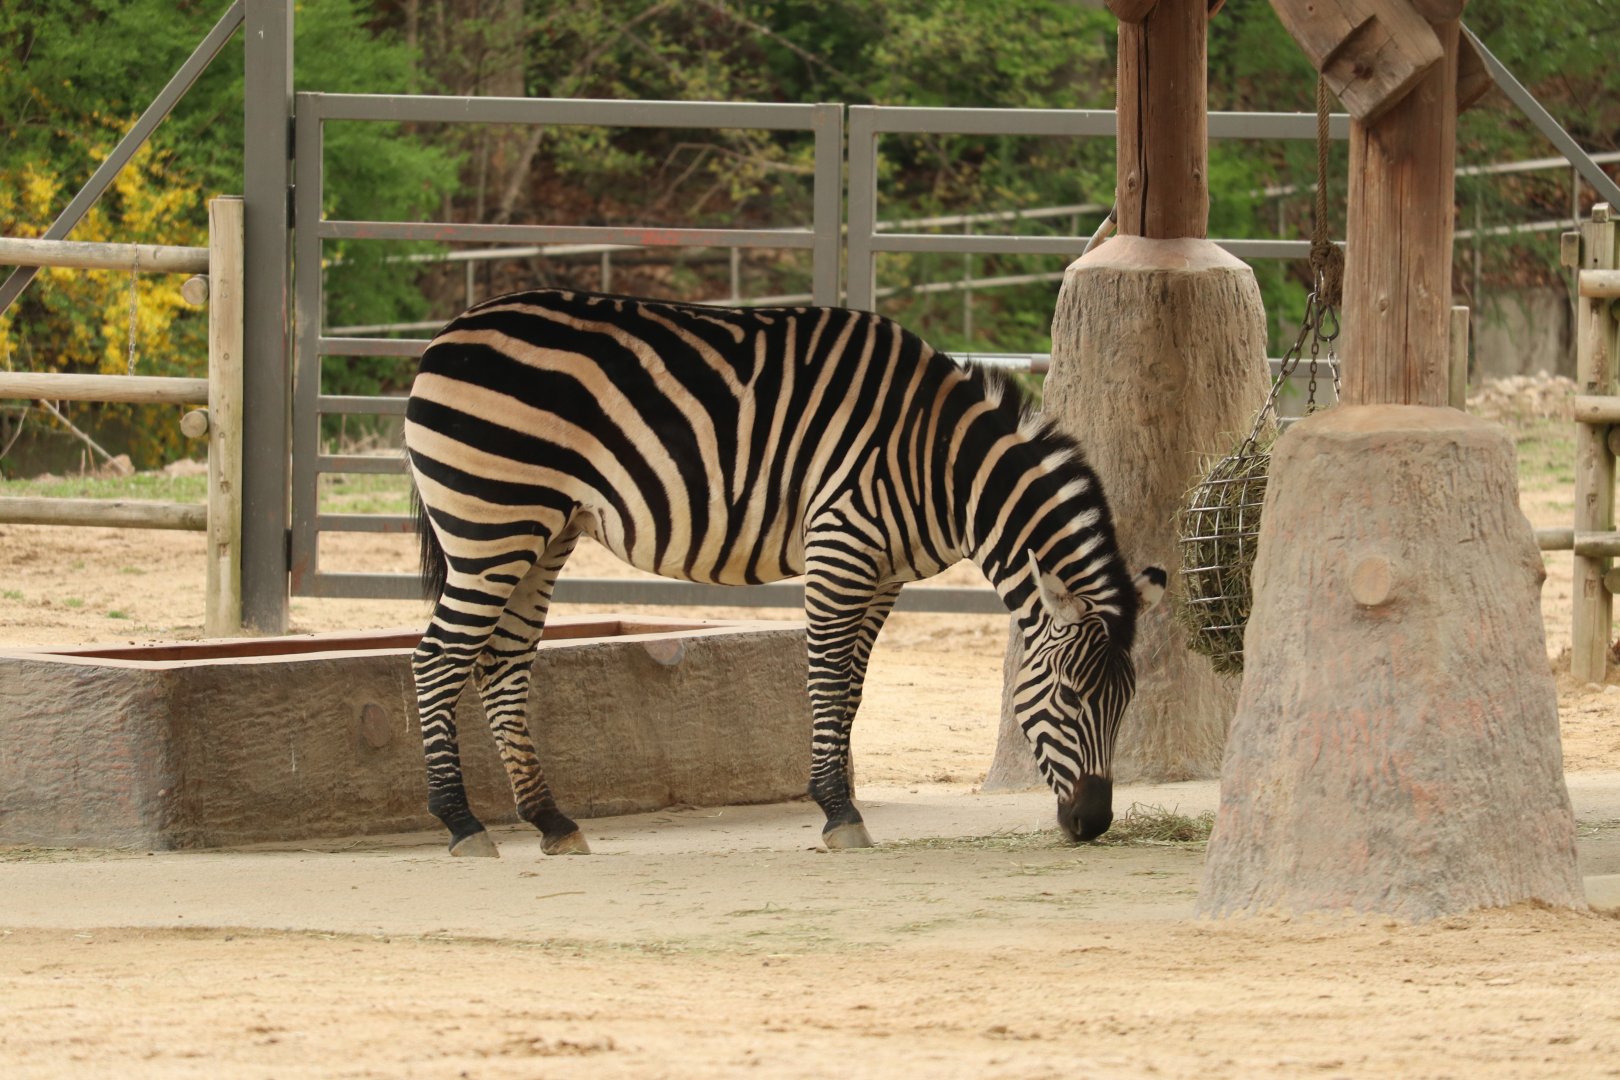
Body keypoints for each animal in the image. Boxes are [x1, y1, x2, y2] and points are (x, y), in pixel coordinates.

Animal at [404, 288, 1165, 858]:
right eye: (1068, 695)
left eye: (1125, 702)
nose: (1093, 823)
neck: (941, 462)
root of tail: (449, 333)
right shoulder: (841, 543)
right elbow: (826, 677)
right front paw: (839, 814)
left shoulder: (885, 575)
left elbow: (853, 686)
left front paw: (840, 801)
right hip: (492, 524)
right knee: (438, 659)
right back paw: (462, 824)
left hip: (544, 530)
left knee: (502, 662)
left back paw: (552, 822)